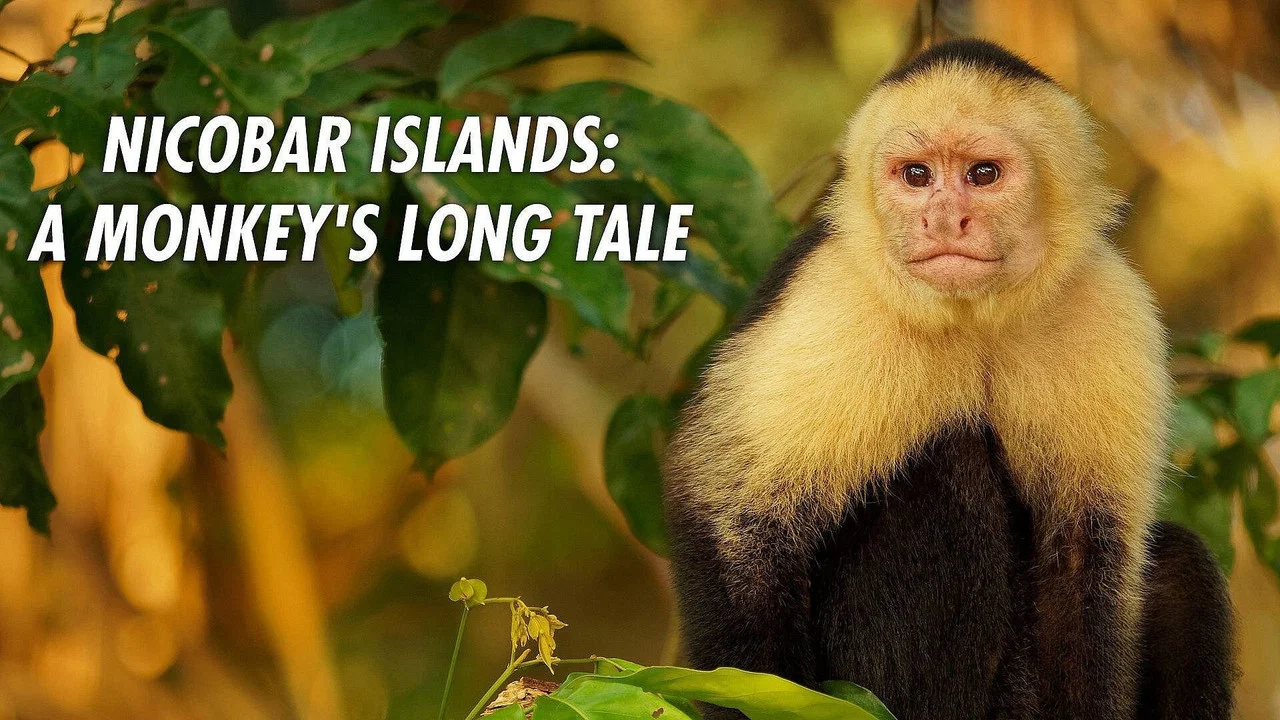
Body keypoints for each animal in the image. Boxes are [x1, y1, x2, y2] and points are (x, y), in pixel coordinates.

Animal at [663, 39, 1234, 720]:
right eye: (916, 176)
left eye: (982, 175)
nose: (944, 220)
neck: (974, 316)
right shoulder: (835, 295)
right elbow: (732, 513)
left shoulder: (1108, 303)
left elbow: (1085, 555)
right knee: (948, 467)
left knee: (1179, 565)